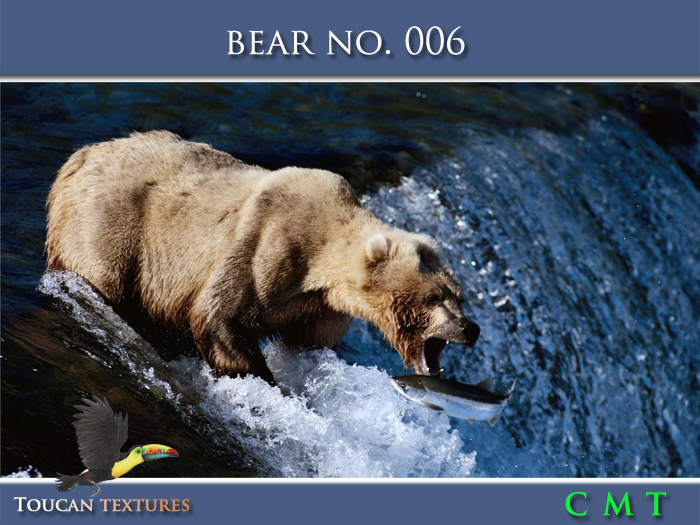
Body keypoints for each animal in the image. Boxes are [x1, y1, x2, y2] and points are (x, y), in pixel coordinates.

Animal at [46, 131, 480, 384]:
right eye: (434, 297)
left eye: (459, 295)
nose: (470, 328)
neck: (322, 267)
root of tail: (81, 155)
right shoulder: (270, 244)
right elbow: (219, 314)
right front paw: (267, 380)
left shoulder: (320, 307)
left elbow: (309, 343)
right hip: (111, 221)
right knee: (105, 277)